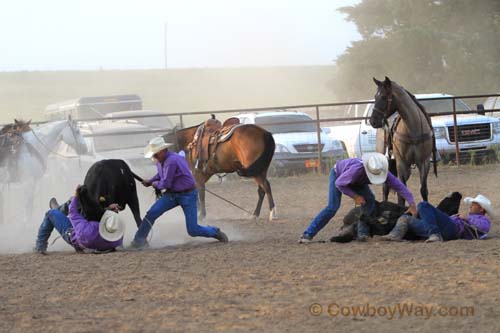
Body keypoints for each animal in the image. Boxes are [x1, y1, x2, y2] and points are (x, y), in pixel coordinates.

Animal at [370, 77, 436, 205]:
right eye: (375, 96)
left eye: (383, 97)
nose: (373, 121)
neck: (413, 130)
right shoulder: (401, 163)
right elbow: (401, 193)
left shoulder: (424, 162)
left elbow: (423, 190)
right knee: (385, 188)